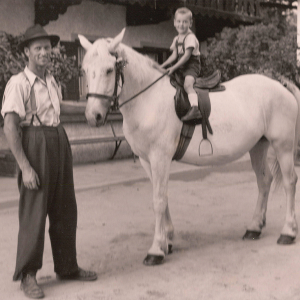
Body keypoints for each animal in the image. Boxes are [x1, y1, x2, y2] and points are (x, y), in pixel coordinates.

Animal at [78, 29, 300, 266]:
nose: (93, 116)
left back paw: (288, 232)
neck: (148, 98)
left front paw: (156, 250)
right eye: (85, 70)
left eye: (109, 70)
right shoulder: (147, 160)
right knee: (264, 181)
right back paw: (254, 227)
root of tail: (281, 85)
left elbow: (159, 200)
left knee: (289, 182)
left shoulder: (160, 158)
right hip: (258, 145)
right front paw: (167, 240)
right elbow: (162, 198)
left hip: (282, 146)